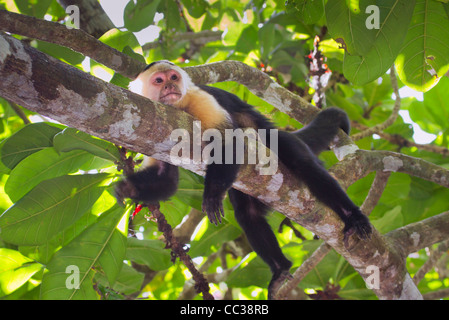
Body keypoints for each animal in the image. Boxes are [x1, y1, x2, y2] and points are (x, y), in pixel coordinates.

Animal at [115, 60, 372, 300]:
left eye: (173, 77)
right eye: (159, 81)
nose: (170, 86)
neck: (178, 107)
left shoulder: (199, 97)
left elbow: (227, 141)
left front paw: (211, 194)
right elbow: (165, 179)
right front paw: (126, 189)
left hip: (280, 142)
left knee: (304, 166)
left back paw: (353, 216)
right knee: (246, 211)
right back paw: (280, 268)